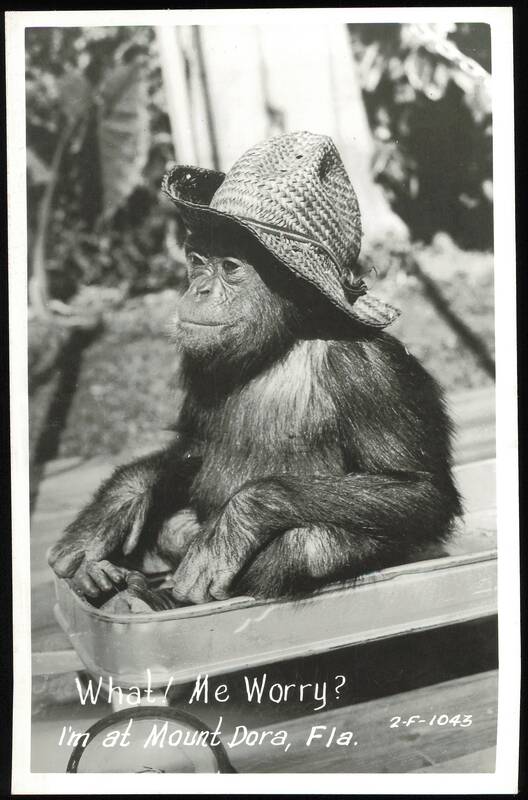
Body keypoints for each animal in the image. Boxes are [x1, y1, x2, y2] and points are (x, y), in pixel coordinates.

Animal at [48, 218, 462, 605]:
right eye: (197, 262)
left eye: (231, 266)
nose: (200, 289)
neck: (279, 343)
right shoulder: (196, 360)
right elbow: (194, 444)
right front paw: (119, 503)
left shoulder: (372, 370)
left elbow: (420, 489)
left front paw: (238, 522)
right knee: (173, 526)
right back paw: (117, 583)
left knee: (307, 547)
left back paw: (142, 594)